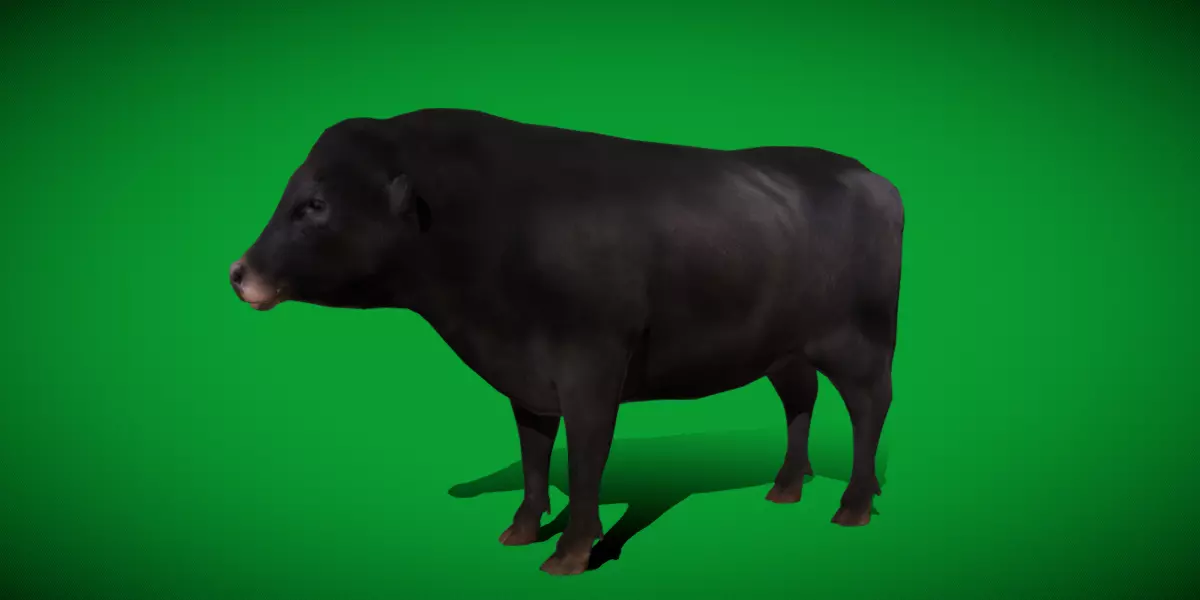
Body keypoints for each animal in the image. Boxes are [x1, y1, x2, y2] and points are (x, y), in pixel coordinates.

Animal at [229, 108, 904, 576]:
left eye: (315, 204)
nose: (238, 273)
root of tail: (869, 175)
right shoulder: (525, 376)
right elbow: (533, 453)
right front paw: (523, 528)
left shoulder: (592, 370)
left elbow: (584, 460)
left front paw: (572, 551)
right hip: (785, 349)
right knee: (800, 399)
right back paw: (787, 486)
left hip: (861, 340)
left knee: (869, 407)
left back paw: (853, 504)